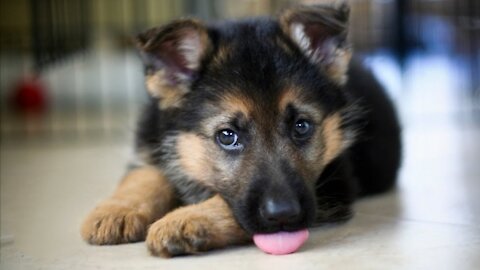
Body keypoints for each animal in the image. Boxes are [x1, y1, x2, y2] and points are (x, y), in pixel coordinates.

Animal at [80, 3, 400, 258]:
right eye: (227, 136)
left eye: (302, 126)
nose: (284, 215)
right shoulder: (151, 140)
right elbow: (144, 176)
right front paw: (117, 211)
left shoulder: (334, 184)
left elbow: (227, 205)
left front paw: (185, 220)